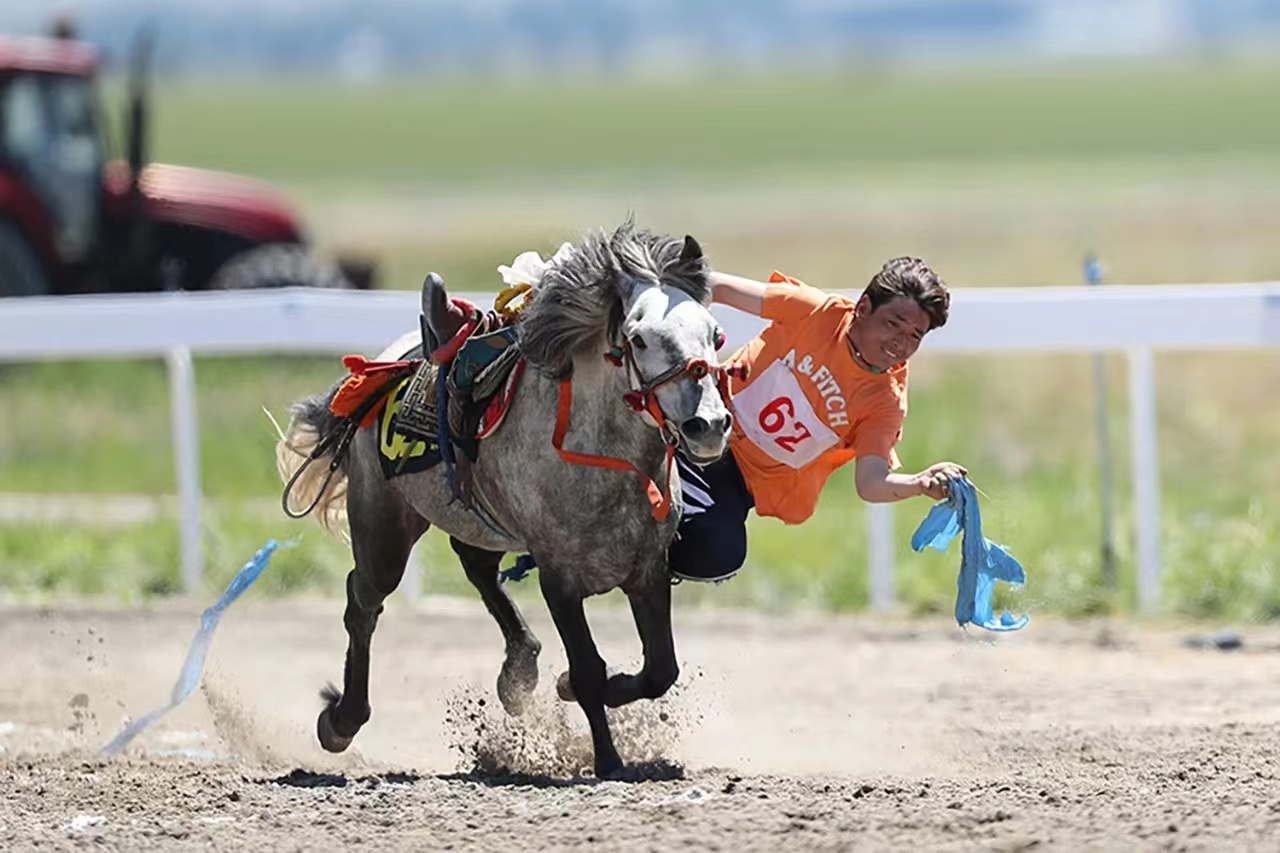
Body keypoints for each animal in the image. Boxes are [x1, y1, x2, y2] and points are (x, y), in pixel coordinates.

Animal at [275, 220, 737, 778]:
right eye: (640, 338)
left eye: (714, 334)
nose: (708, 425)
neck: (601, 459)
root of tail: (387, 364)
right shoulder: (559, 578)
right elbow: (588, 668)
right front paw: (606, 758)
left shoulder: (647, 569)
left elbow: (659, 670)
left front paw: (573, 690)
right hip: (384, 524)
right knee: (363, 601)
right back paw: (341, 721)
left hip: (478, 517)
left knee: (474, 566)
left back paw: (520, 669)